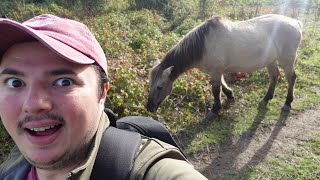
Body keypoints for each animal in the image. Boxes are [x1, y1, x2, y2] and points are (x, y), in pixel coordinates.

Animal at [146, 13, 304, 116]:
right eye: (150, 85)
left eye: (160, 87)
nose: (149, 108)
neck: (204, 44)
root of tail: (296, 22)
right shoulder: (216, 71)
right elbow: (222, 84)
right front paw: (230, 95)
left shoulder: (216, 71)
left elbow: (215, 90)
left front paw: (215, 109)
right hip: (271, 60)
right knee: (274, 76)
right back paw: (266, 99)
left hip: (287, 60)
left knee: (291, 78)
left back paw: (288, 103)